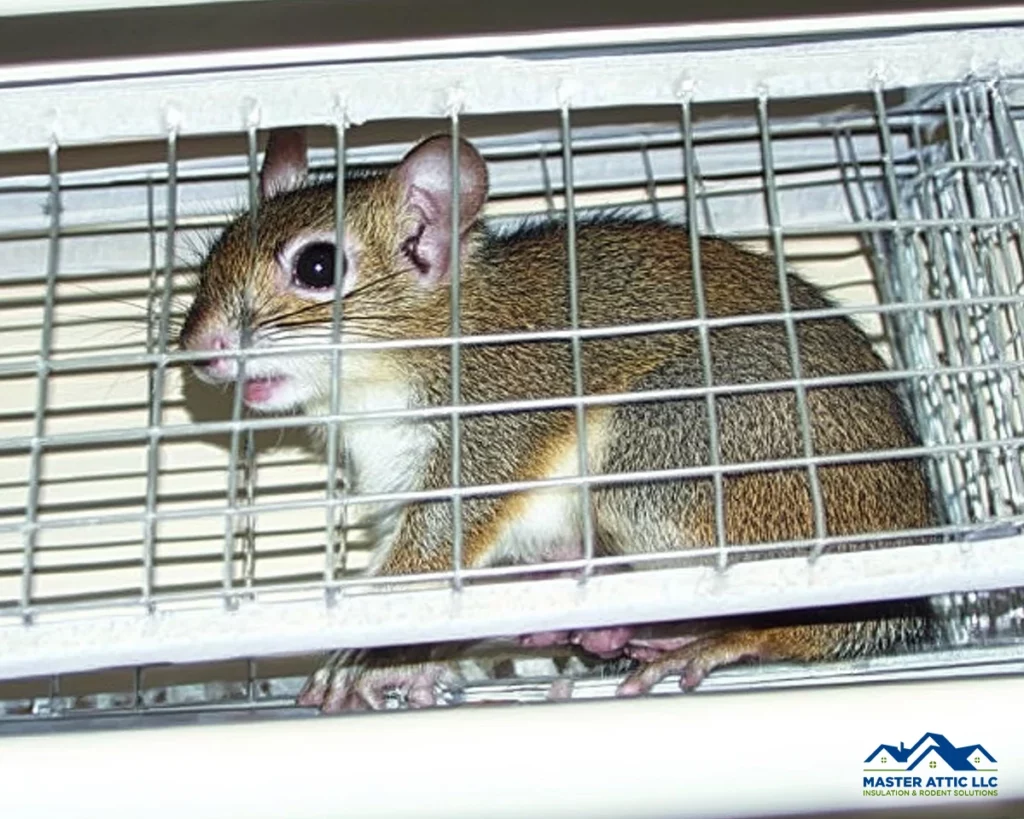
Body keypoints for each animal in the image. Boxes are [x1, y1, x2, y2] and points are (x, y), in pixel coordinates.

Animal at [179, 129, 940, 712]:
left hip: (674, 451)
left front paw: (363, 660)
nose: (198, 348)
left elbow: (426, 561)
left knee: (815, 621)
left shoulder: (491, 425)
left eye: (317, 265)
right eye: (215, 249)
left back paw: (720, 638)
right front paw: (419, 661)